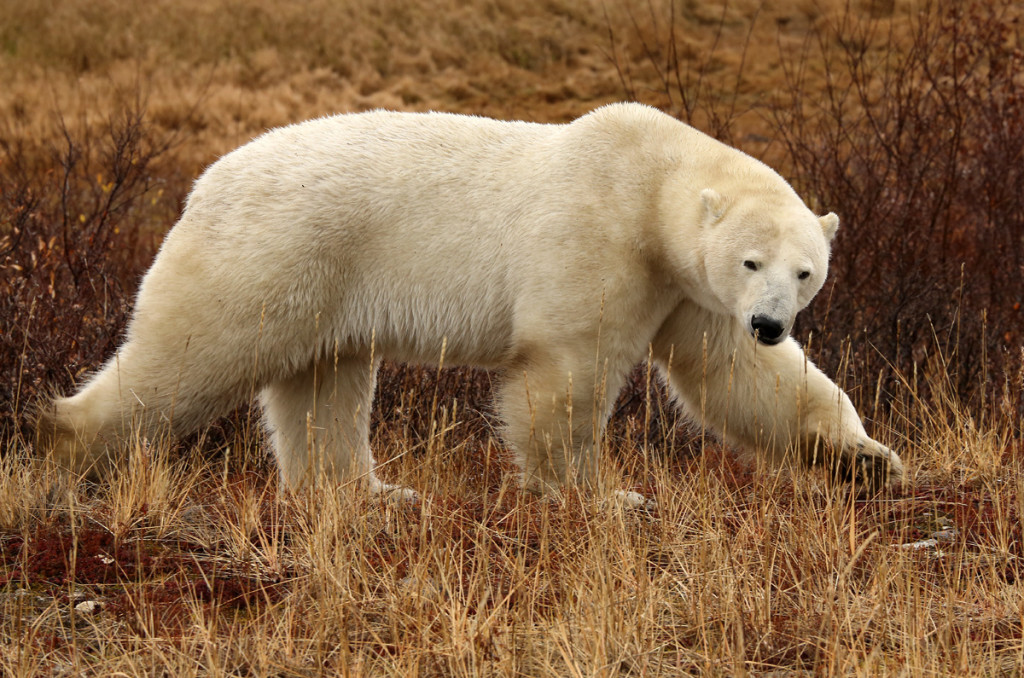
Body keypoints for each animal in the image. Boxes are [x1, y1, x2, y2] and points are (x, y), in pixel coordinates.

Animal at [36, 102, 904, 505]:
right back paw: (66, 442)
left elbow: (737, 379)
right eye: (751, 259)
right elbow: (565, 370)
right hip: (272, 254)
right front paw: (604, 495)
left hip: (323, 282)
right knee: (192, 352)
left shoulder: (687, 288)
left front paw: (867, 461)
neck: (651, 180)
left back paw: (370, 495)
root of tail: (204, 181)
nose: (769, 322)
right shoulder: (601, 237)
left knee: (323, 385)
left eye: (805, 271)